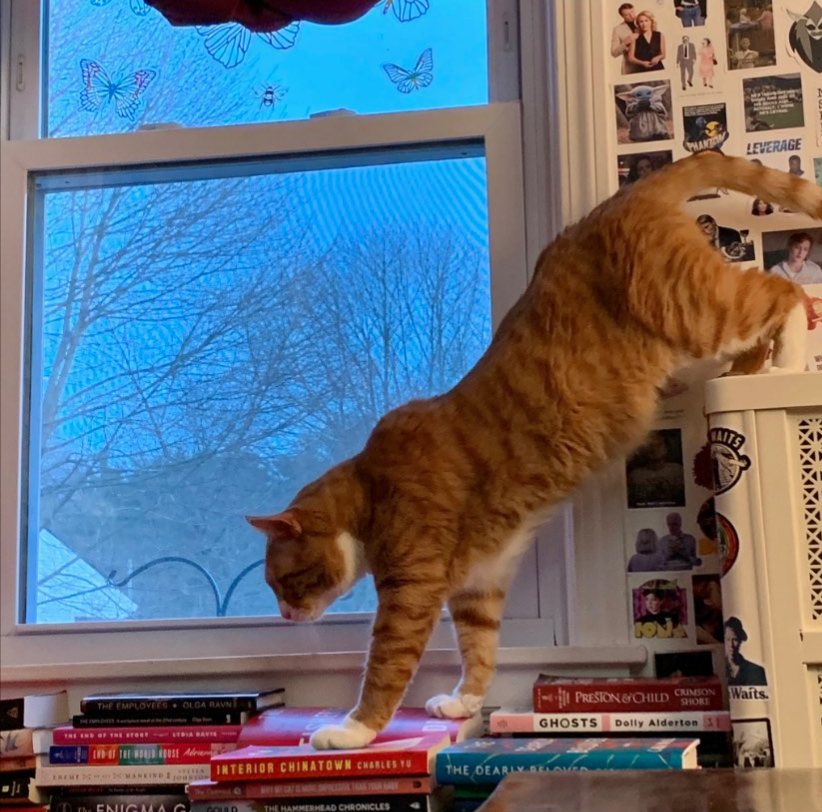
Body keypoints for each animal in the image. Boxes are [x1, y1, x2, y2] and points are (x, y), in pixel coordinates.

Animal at [246, 152, 822, 748]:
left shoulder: (410, 593)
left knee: (780, 296)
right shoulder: (477, 587)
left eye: (282, 582)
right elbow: (478, 650)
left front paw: (351, 730)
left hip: (692, 308)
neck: (369, 491)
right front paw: (464, 702)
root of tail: (624, 197)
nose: (285, 615)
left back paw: (785, 364)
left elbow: (385, 667)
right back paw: (748, 371)